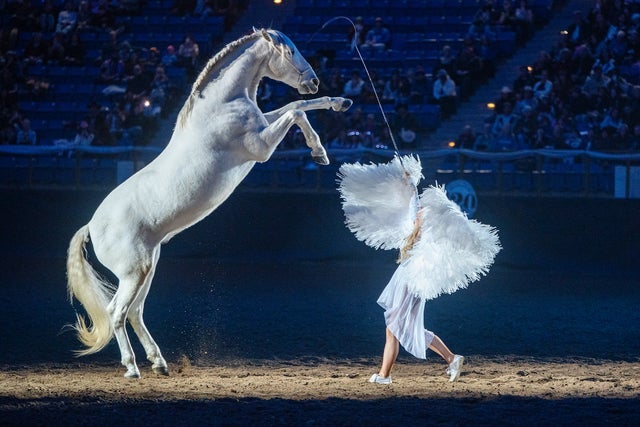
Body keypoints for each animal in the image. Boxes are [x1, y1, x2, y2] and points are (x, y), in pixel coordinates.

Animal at [66, 28, 353, 378]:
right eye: (290, 51)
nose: (313, 80)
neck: (222, 105)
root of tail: (92, 226)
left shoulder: (264, 123)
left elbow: (297, 103)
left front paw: (339, 103)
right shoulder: (261, 146)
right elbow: (295, 111)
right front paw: (319, 151)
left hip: (146, 269)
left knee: (135, 312)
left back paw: (159, 363)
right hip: (134, 272)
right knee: (116, 311)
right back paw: (132, 367)